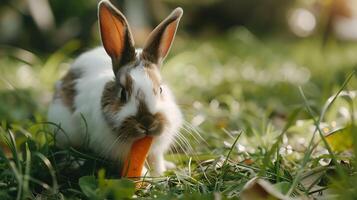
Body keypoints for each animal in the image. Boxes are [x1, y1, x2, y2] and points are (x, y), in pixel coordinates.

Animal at [48, 0, 181, 176]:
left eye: (160, 89)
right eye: (123, 93)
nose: (147, 122)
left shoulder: (156, 150)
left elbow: (156, 159)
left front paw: (159, 173)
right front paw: (144, 176)